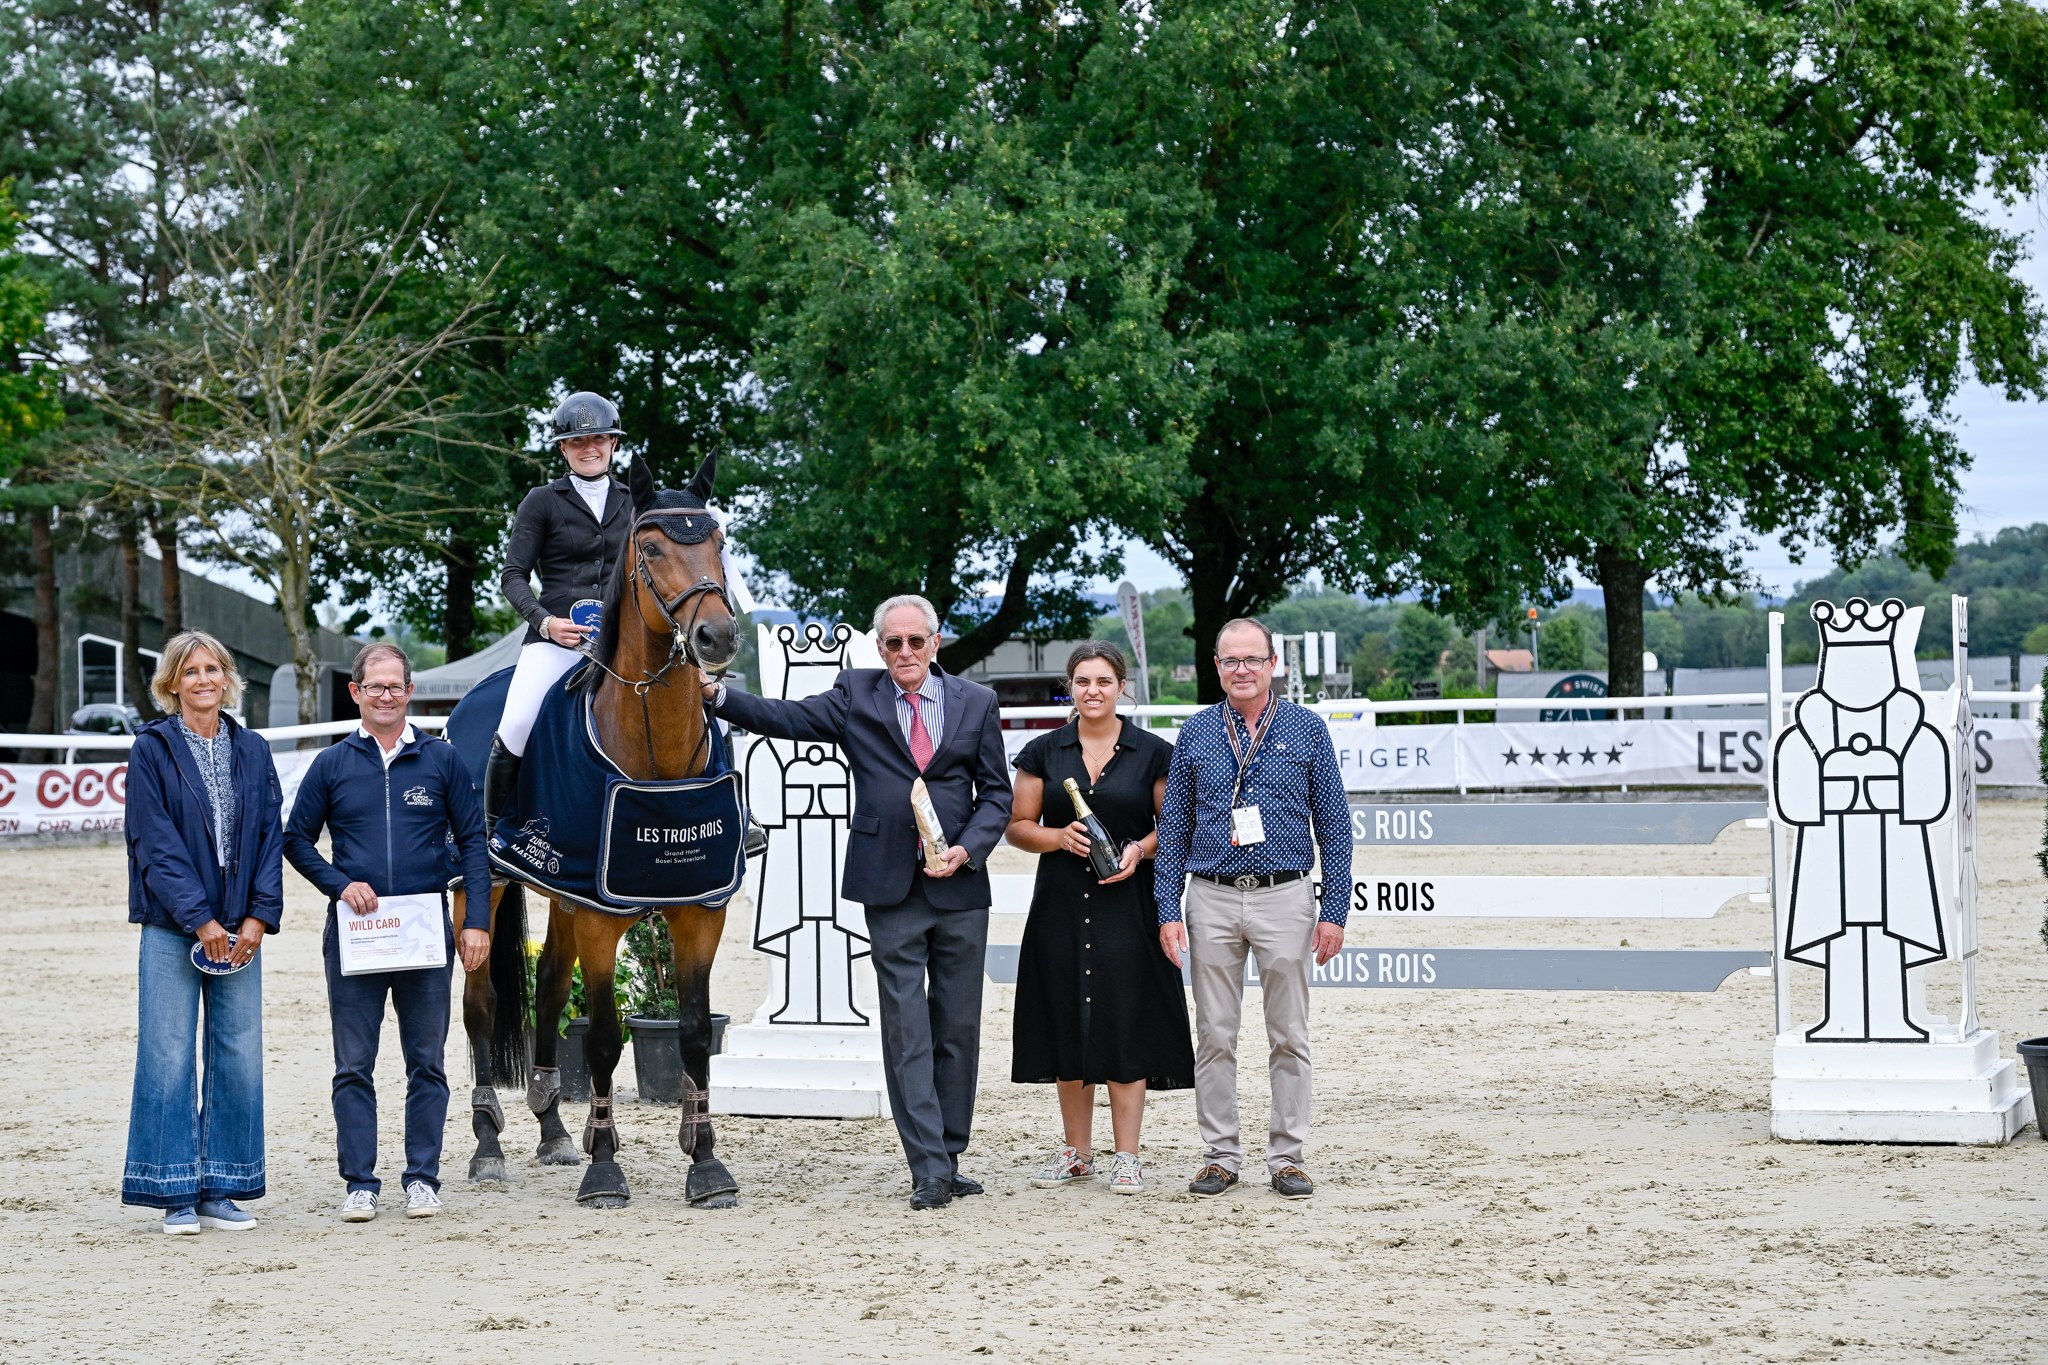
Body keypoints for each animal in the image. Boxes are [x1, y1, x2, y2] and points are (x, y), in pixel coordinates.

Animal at [452, 456, 741, 1203]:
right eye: (652, 547)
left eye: (717, 541)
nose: (717, 638)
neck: (656, 753)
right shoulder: (602, 915)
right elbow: (607, 1037)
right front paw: (605, 1165)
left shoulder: (699, 908)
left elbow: (694, 1030)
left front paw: (705, 1163)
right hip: (483, 886)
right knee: (481, 1002)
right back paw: (488, 1143)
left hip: (563, 892)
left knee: (549, 988)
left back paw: (554, 1130)